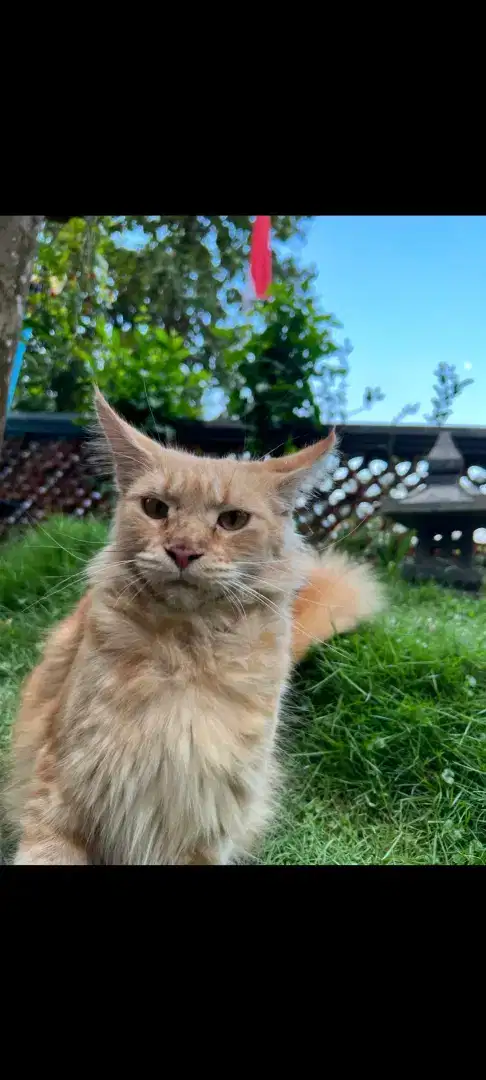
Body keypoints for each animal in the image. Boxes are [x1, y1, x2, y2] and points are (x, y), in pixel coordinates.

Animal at [4, 393, 384, 864]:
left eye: (233, 520)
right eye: (155, 509)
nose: (182, 550)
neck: (182, 658)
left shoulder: (203, 824)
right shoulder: (57, 797)